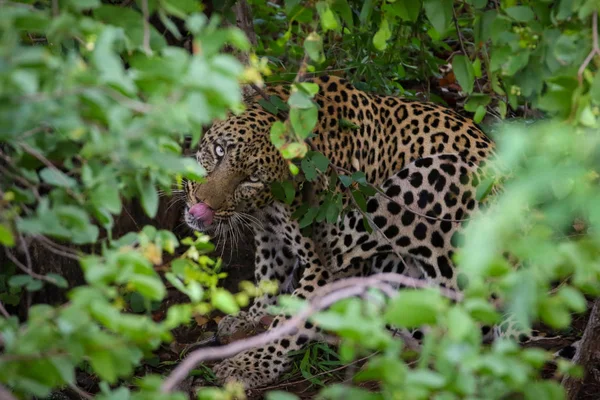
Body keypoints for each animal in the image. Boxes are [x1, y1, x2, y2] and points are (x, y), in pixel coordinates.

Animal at [183, 74, 496, 388]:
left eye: (253, 179)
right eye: (219, 150)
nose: (201, 204)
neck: (273, 200)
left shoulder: (320, 268)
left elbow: (292, 322)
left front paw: (252, 364)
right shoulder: (271, 233)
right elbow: (269, 275)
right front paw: (251, 318)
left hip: (441, 176)